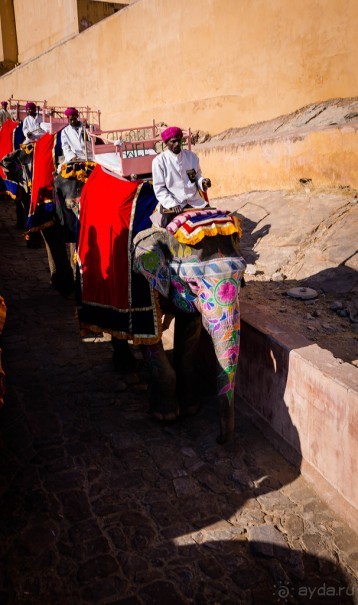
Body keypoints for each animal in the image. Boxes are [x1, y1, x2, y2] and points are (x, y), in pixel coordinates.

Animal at [75, 165, 243, 444]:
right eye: (194, 284)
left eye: (241, 279)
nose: (220, 440)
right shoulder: (138, 278)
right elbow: (149, 338)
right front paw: (166, 416)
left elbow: (189, 332)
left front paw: (190, 408)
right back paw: (125, 366)